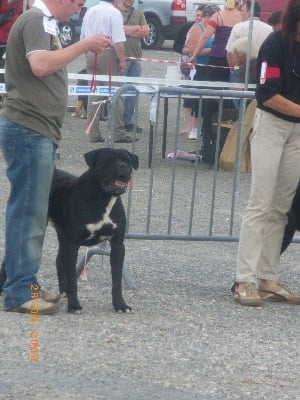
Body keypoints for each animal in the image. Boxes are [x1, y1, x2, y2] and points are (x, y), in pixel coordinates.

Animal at [0, 147, 138, 312]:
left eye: (127, 160)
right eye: (108, 160)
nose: (124, 167)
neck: (104, 198)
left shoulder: (117, 245)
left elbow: (116, 281)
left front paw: (120, 305)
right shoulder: (73, 244)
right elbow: (73, 279)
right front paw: (74, 305)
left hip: (63, 238)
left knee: (59, 261)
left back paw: (63, 292)